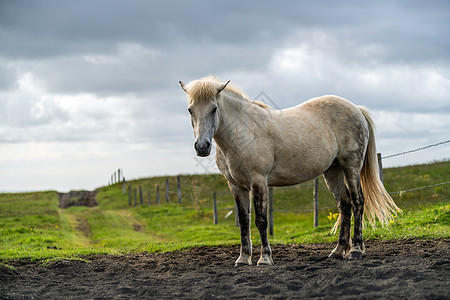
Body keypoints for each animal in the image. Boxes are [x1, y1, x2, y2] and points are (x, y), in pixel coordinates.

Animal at [179, 76, 400, 266]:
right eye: (190, 110)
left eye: (214, 109)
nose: (202, 147)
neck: (243, 133)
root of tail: (356, 109)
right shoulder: (236, 186)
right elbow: (244, 222)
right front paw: (243, 259)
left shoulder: (259, 183)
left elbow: (261, 221)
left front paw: (264, 258)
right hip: (333, 171)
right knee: (345, 205)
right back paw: (337, 252)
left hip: (351, 166)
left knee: (358, 202)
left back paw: (355, 250)